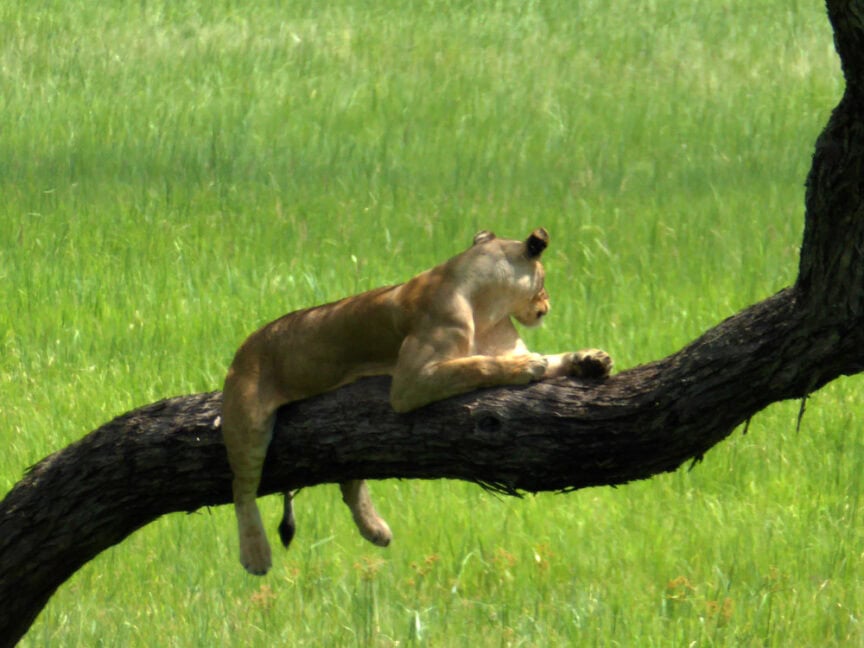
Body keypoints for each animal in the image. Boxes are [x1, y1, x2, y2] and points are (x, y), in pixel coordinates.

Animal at [222, 227, 612, 575]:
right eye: (544, 281)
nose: (547, 305)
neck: (488, 308)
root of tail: (245, 346)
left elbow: (551, 358)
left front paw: (590, 360)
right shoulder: (410, 382)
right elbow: (477, 365)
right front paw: (526, 367)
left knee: (349, 483)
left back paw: (376, 530)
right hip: (248, 421)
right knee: (242, 488)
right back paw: (255, 554)